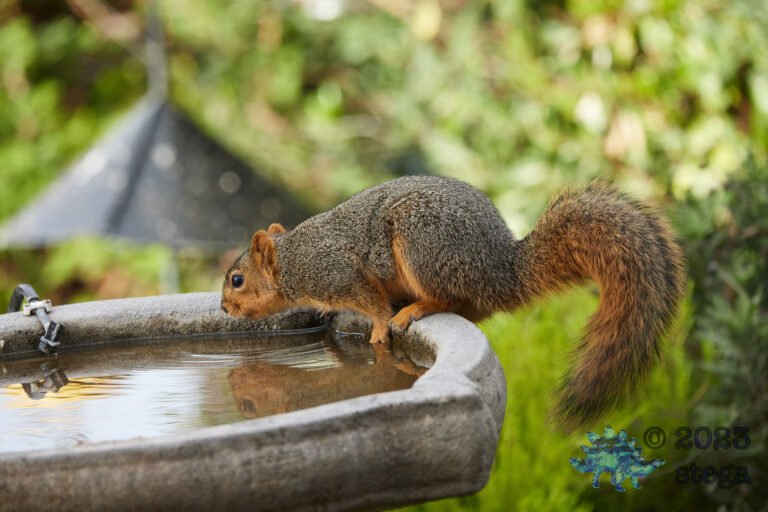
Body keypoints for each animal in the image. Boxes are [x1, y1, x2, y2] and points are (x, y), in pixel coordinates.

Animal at [221, 176, 685, 428]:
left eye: (237, 280)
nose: (224, 309)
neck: (292, 261)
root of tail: (501, 271)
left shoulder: (336, 272)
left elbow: (370, 301)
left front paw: (377, 328)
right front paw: (325, 311)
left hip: (423, 243)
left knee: (447, 296)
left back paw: (414, 309)